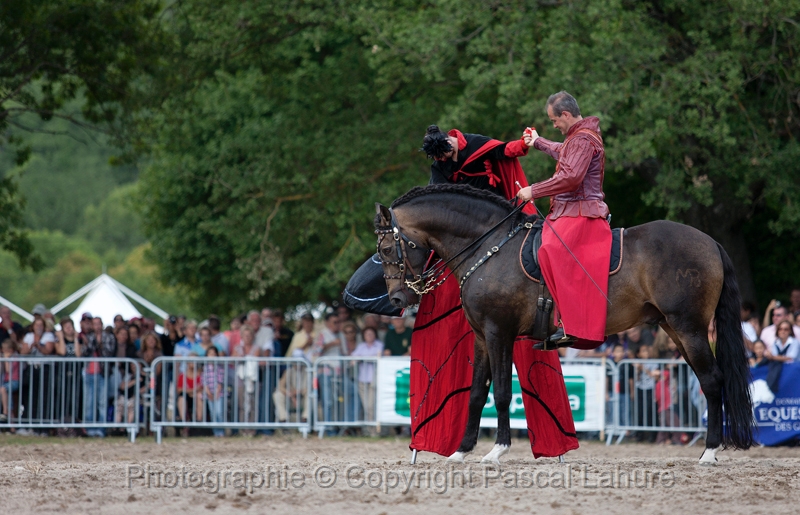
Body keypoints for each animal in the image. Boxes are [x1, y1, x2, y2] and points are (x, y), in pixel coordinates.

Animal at [374, 183, 754, 465]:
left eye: (387, 249)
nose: (397, 299)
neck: (489, 246)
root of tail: (710, 242)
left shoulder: (500, 333)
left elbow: (501, 392)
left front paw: (497, 450)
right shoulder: (482, 336)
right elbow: (476, 393)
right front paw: (461, 450)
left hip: (690, 329)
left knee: (712, 381)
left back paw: (710, 451)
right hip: (675, 329)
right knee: (708, 381)